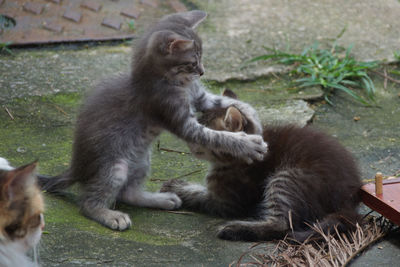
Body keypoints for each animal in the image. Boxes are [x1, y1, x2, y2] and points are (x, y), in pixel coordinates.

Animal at [39, 11, 268, 232]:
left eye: (201, 58)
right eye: (193, 62)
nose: (202, 72)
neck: (177, 83)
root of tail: (76, 167)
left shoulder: (200, 97)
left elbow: (224, 101)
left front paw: (252, 114)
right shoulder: (177, 118)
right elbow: (215, 136)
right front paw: (247, 144)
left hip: (142, 160)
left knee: (128, 194)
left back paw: (161, 199)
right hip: (115, 166)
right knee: (88, 202)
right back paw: (110, 215)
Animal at [160, 90, 362, 243]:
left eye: (203, 134)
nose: (187, 140)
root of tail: (349, 198)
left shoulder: (225, 202)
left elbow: (198, 194)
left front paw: (176, 187)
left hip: (286, 178)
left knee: (282, 225)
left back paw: (235, 228)